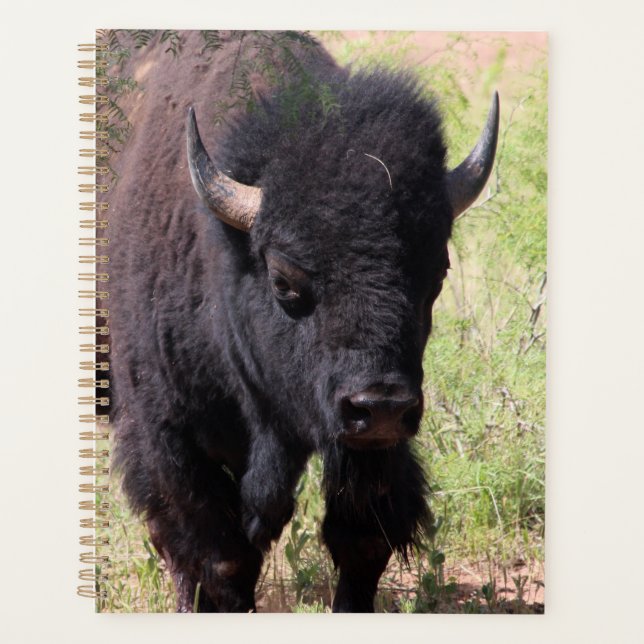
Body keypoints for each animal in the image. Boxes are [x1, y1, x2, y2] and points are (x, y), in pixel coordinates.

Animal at [101, 31, 499, 612]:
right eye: (284, 280)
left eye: (437, 273)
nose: (379, 405)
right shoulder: (168, 434)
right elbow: (216, 557)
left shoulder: (366, 443)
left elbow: (361, 540)